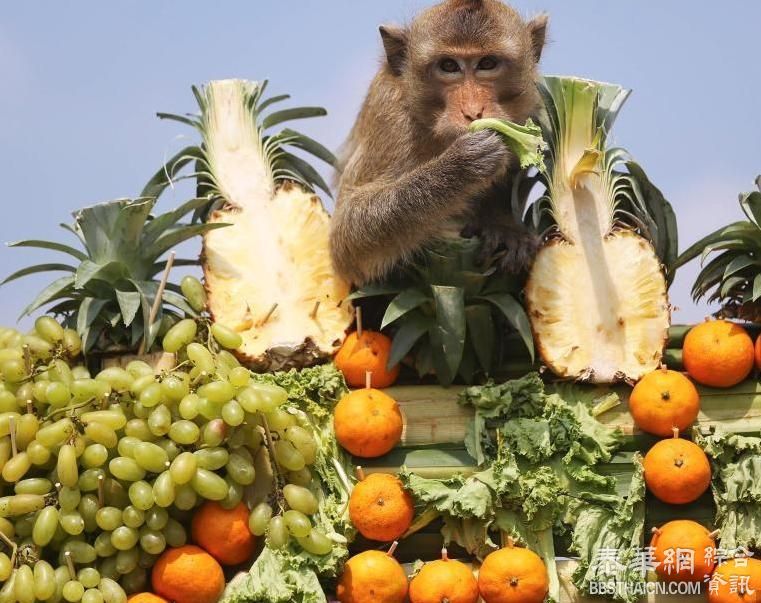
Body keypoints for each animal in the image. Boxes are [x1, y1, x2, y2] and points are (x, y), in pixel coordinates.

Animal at [328, 0, 548, 286]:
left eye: (487, 63)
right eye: (449, 66)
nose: (473, 111)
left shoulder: (533, 104)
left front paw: (503, 225)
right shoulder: (390, 116)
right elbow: (346, 237)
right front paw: (460, 167)